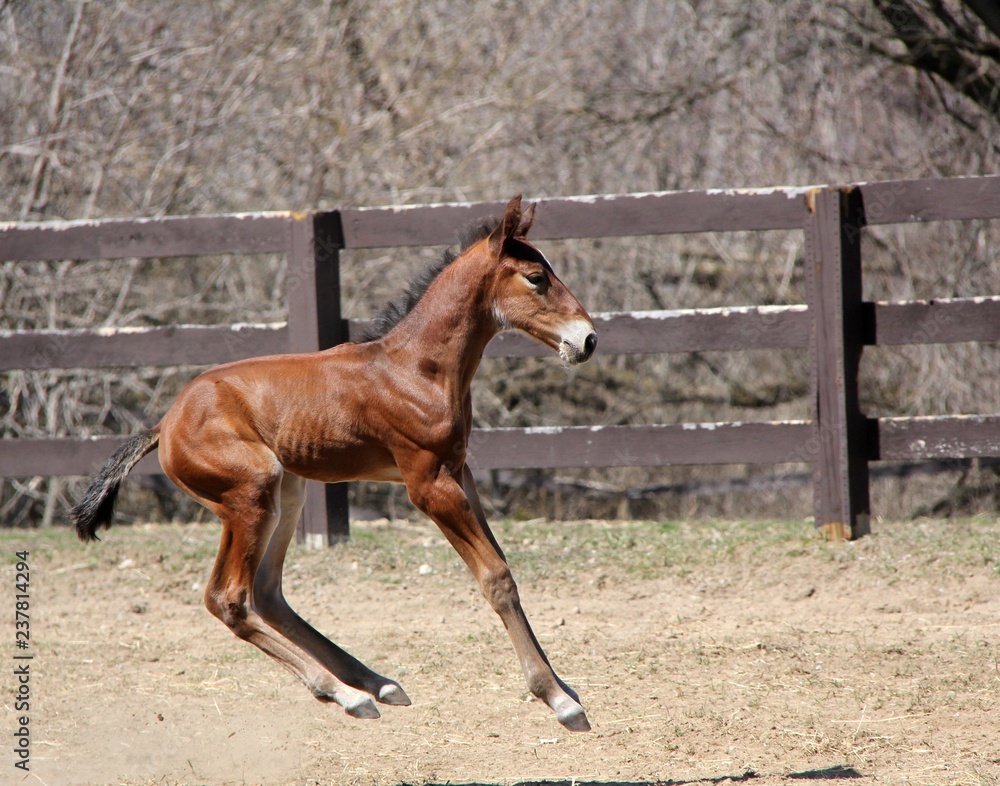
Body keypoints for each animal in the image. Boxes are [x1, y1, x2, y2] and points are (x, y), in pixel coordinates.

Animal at [70, 195, 598, 732]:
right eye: (536, 277)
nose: (588, 340)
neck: (416, 369)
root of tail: (165, 423)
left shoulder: (459, 472)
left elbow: (503, 564)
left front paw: (564, 685)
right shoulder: (428, 483)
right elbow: (495, 578)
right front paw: (558, 699)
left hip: (287, 491)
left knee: (268, 594)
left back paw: (374, 683)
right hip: (250, 494)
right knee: (229, 599)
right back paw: (345, 693)